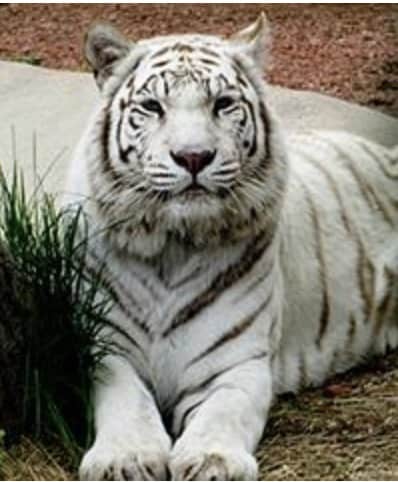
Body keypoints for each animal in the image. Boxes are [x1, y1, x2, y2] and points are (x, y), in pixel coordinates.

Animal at [64, 13, 398, 480]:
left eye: (222, 103)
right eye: (152, 107)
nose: (193, 156)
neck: (172, 247)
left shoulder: (237, 364)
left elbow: (224, 413)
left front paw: (212, 460)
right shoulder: (106, 347)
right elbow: (126, 400)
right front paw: (125, 458)